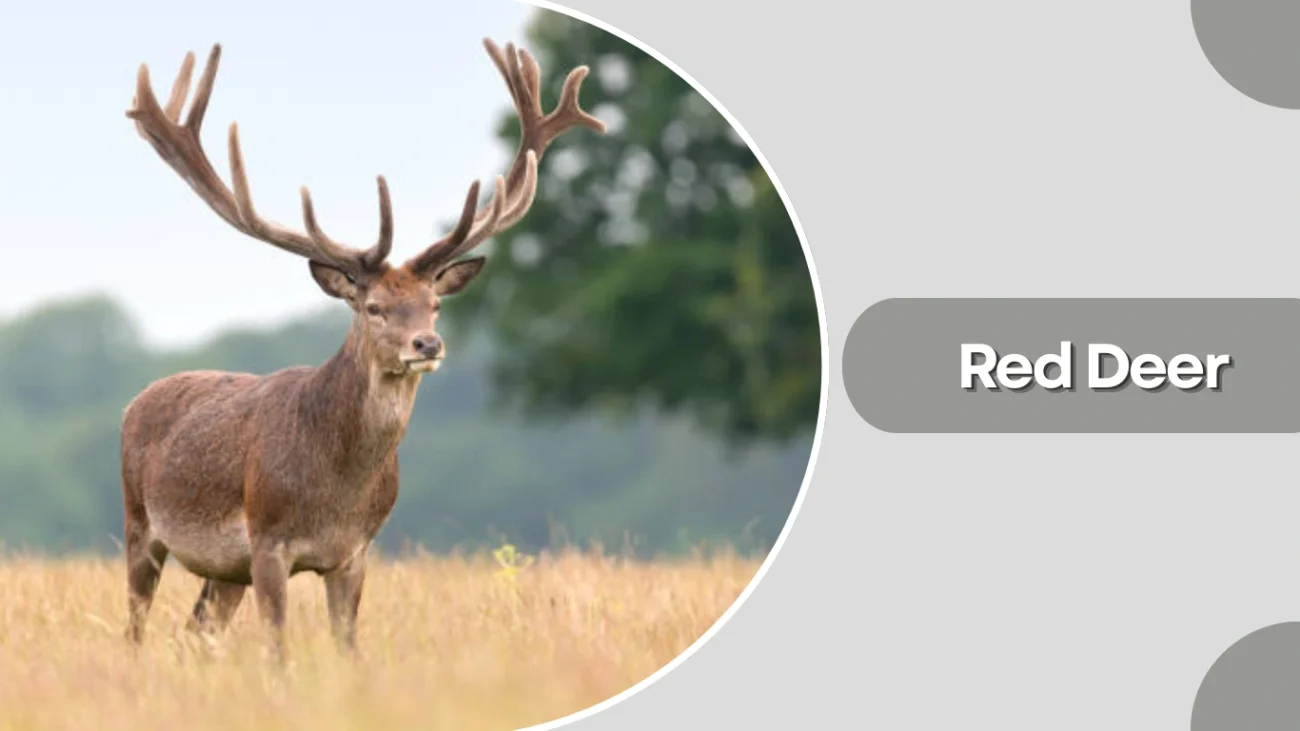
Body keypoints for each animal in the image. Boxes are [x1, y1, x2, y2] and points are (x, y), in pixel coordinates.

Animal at [118, 39, 606, 657]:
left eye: (434, 304)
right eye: (373, 307)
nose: (427, 343)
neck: (335, 492)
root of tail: (138, 400)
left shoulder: (354, 553)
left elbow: (348, 647)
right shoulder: (267, 539)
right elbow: (278, 647)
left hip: (223, 569)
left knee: (197, 628)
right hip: (141, 524)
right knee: (136, 626)